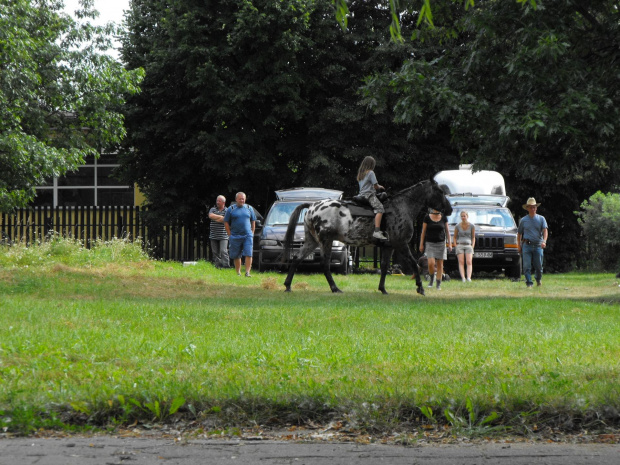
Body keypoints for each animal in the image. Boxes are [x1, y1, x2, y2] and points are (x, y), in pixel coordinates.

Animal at [284, 179, 452, 294]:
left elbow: (384, 267)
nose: (449, 209)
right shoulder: (401, 244)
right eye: (439, 191)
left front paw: (382, 289)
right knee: (324, 264)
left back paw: (287, 285)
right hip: (326, 240)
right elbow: (414, 264)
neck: (401, 207)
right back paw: (335, 288)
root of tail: (312, 206)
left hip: (312, 241)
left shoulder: (389, 247)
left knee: (296, 258)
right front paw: (420, 288)